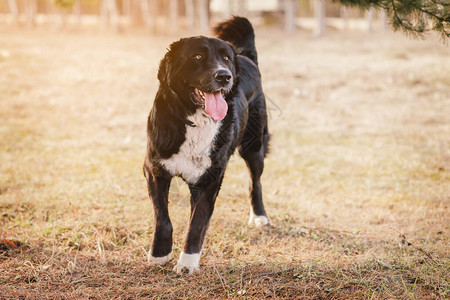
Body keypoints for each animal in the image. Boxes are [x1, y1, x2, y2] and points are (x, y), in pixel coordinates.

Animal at [144, 16, 268, 274]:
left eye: (226, 58)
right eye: (198, 56)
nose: (224, 76)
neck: (194, 119)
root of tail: (246, 57)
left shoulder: (210, 179)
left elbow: (197, 223)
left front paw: (187, 262)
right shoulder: (154, 169)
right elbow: (163, 217)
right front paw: (160, 254)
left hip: (253, 146)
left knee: (255, 182)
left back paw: (260, 216)